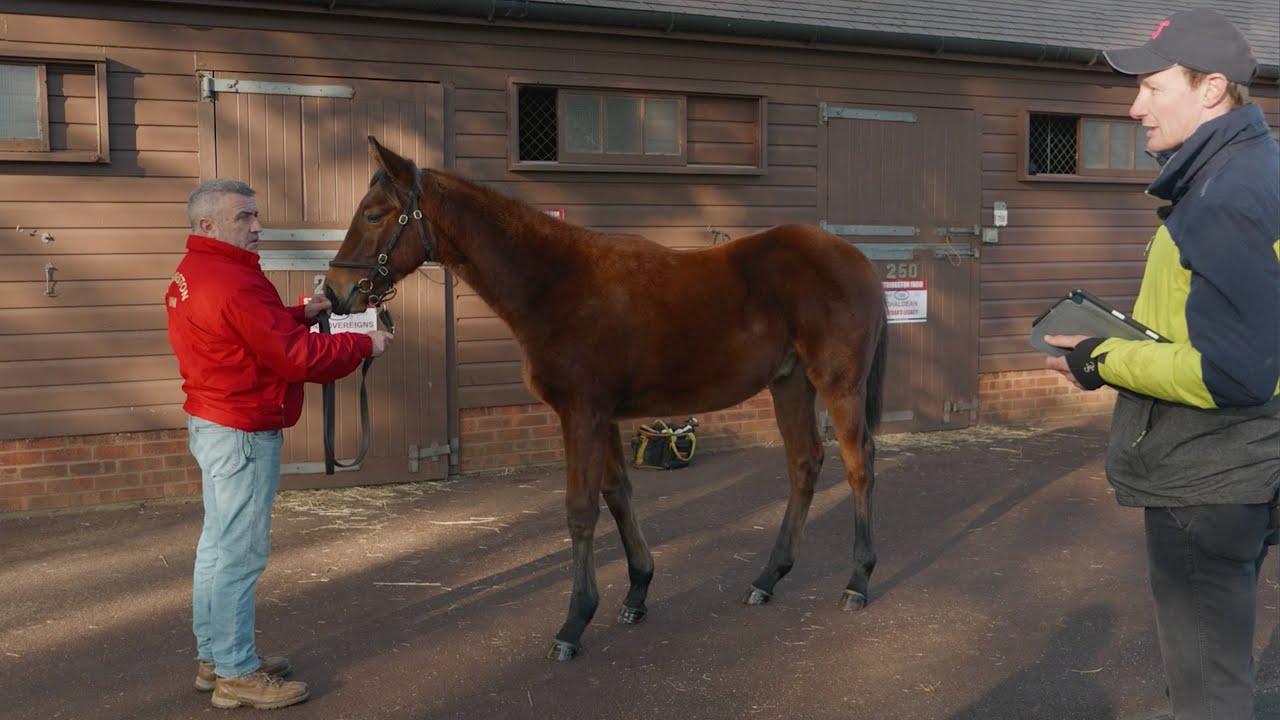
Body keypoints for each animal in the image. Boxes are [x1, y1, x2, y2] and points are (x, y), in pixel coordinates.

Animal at [324, 137, 890, 661]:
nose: (333, 292)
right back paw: (768, 578)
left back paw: (857, 581)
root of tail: (858, 259)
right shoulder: (607, 417)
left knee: (859, 464)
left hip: (838, 383)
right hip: (790, 383)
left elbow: (581, 510)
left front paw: (575, 621)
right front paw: (637, 590)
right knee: (804, 464)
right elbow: (618, 495)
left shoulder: (581, 414)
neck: (555, 284)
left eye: (374, 214)